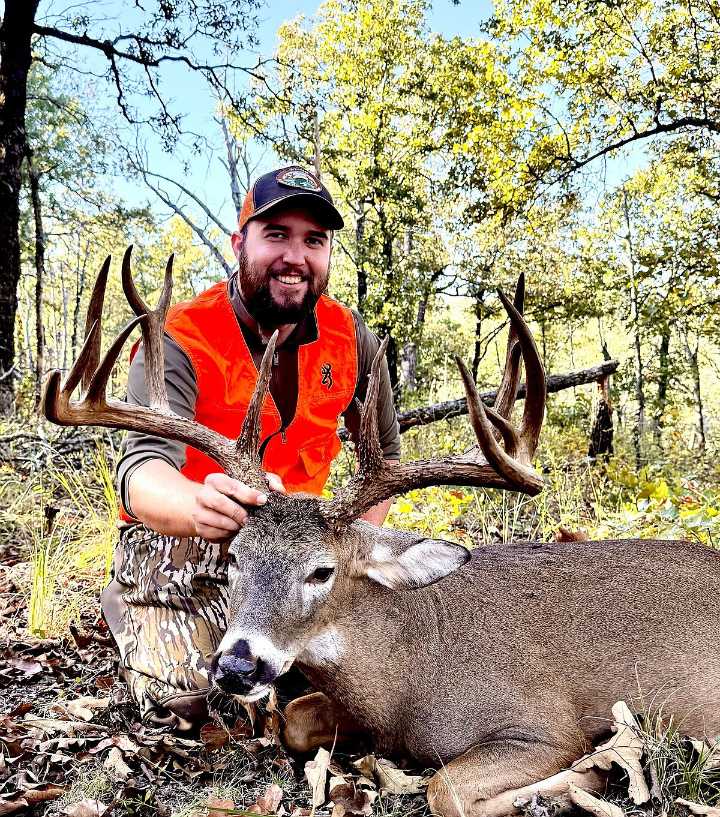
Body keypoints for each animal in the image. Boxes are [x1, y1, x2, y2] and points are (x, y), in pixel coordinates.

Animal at [42, 250, 720, 817]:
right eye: (234, 558)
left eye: (322, 570)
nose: (234, 665)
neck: (403, 677)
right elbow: (294, 722)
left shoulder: (543, 721)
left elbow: (448, 790)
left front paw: (593, 774)